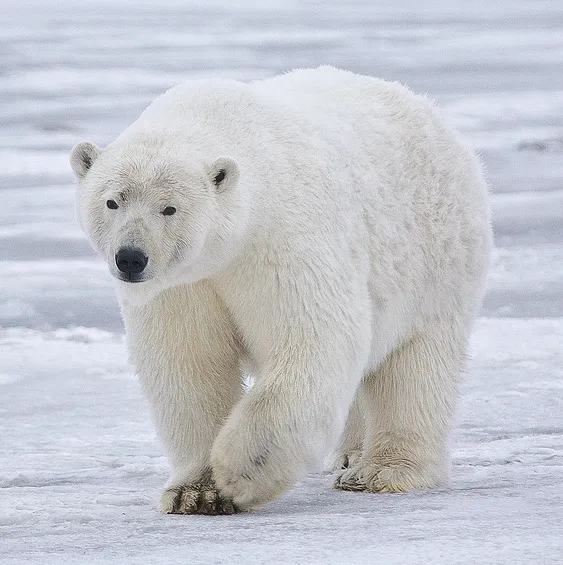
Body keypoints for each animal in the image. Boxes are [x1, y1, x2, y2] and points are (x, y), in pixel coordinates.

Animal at [71, 67, 494, 516]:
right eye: (112, 201)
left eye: (169, 208)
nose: (131, 258)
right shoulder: (182, 285)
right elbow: (189, 364)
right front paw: (195, 492)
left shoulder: (282, 239)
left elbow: (312, 340)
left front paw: (239, 472)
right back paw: (349, 456)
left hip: (436, 259)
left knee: (416, 366)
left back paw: (381, 471)